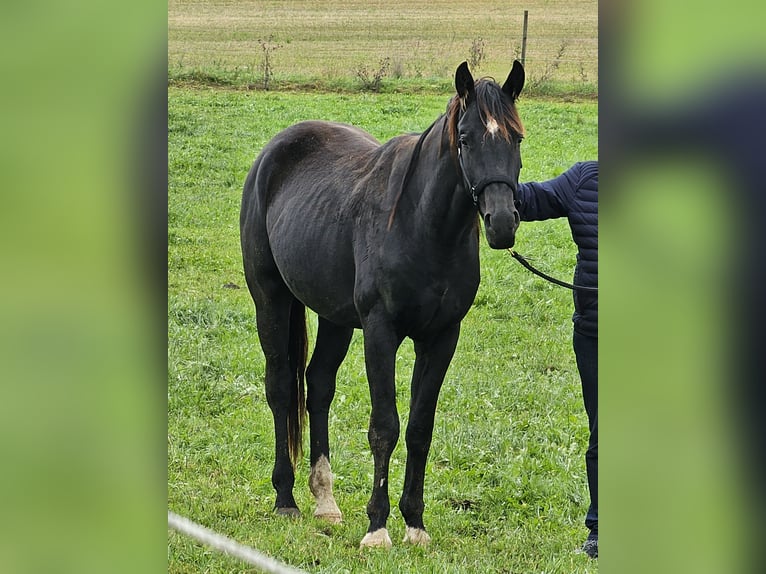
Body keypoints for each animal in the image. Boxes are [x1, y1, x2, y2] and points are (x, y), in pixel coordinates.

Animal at [242, 59, 528, 548]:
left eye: (517, 138)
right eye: (465, 138)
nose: (502, 222)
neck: (422, 224)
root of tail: (271, 154)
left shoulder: (441, 338)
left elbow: (418, 429)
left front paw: (414, 524)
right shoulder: (380, 332)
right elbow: (384, 427)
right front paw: (377, 528)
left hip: (334, 318)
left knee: (317, 386)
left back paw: (325, 501)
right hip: (271, 300)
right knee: (281, 388)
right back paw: (286, 499)